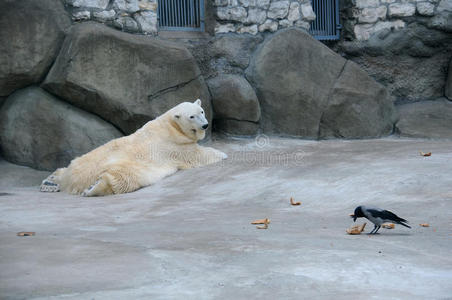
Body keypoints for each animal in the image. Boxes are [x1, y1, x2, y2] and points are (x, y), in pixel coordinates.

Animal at [39, 99, 226, 197]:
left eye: (201, 111)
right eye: (192, 116)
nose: (205, 125)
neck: (170, 125)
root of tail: (76, 180)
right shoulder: (174, 145)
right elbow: (196, 155)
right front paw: (222, 154)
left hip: (88, 156)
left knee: (70, 166)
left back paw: (51, 181)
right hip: (133, 166)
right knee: (124, 179)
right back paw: (93, 188)